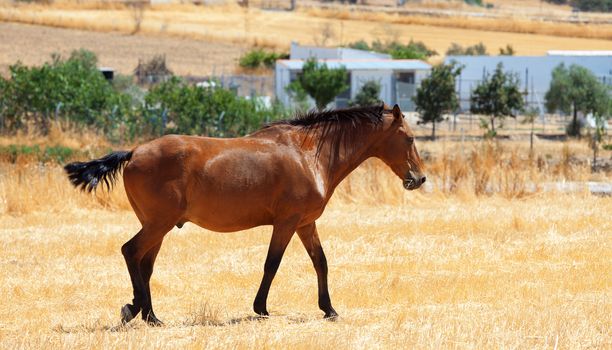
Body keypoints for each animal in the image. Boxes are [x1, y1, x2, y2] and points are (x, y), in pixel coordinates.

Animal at [64, 103, 424, 326]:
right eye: (409, 137)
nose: (418, 179)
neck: (308, 154)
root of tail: (134, 152)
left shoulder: (306, 223)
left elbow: (320, 262)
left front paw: (329, 309)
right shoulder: (287, 223)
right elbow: (272, 264)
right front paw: (261, 308)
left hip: (157, 227)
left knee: (145, 265)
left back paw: (151, 316)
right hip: (158, 225)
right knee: (131, 252)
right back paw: (134, 308)